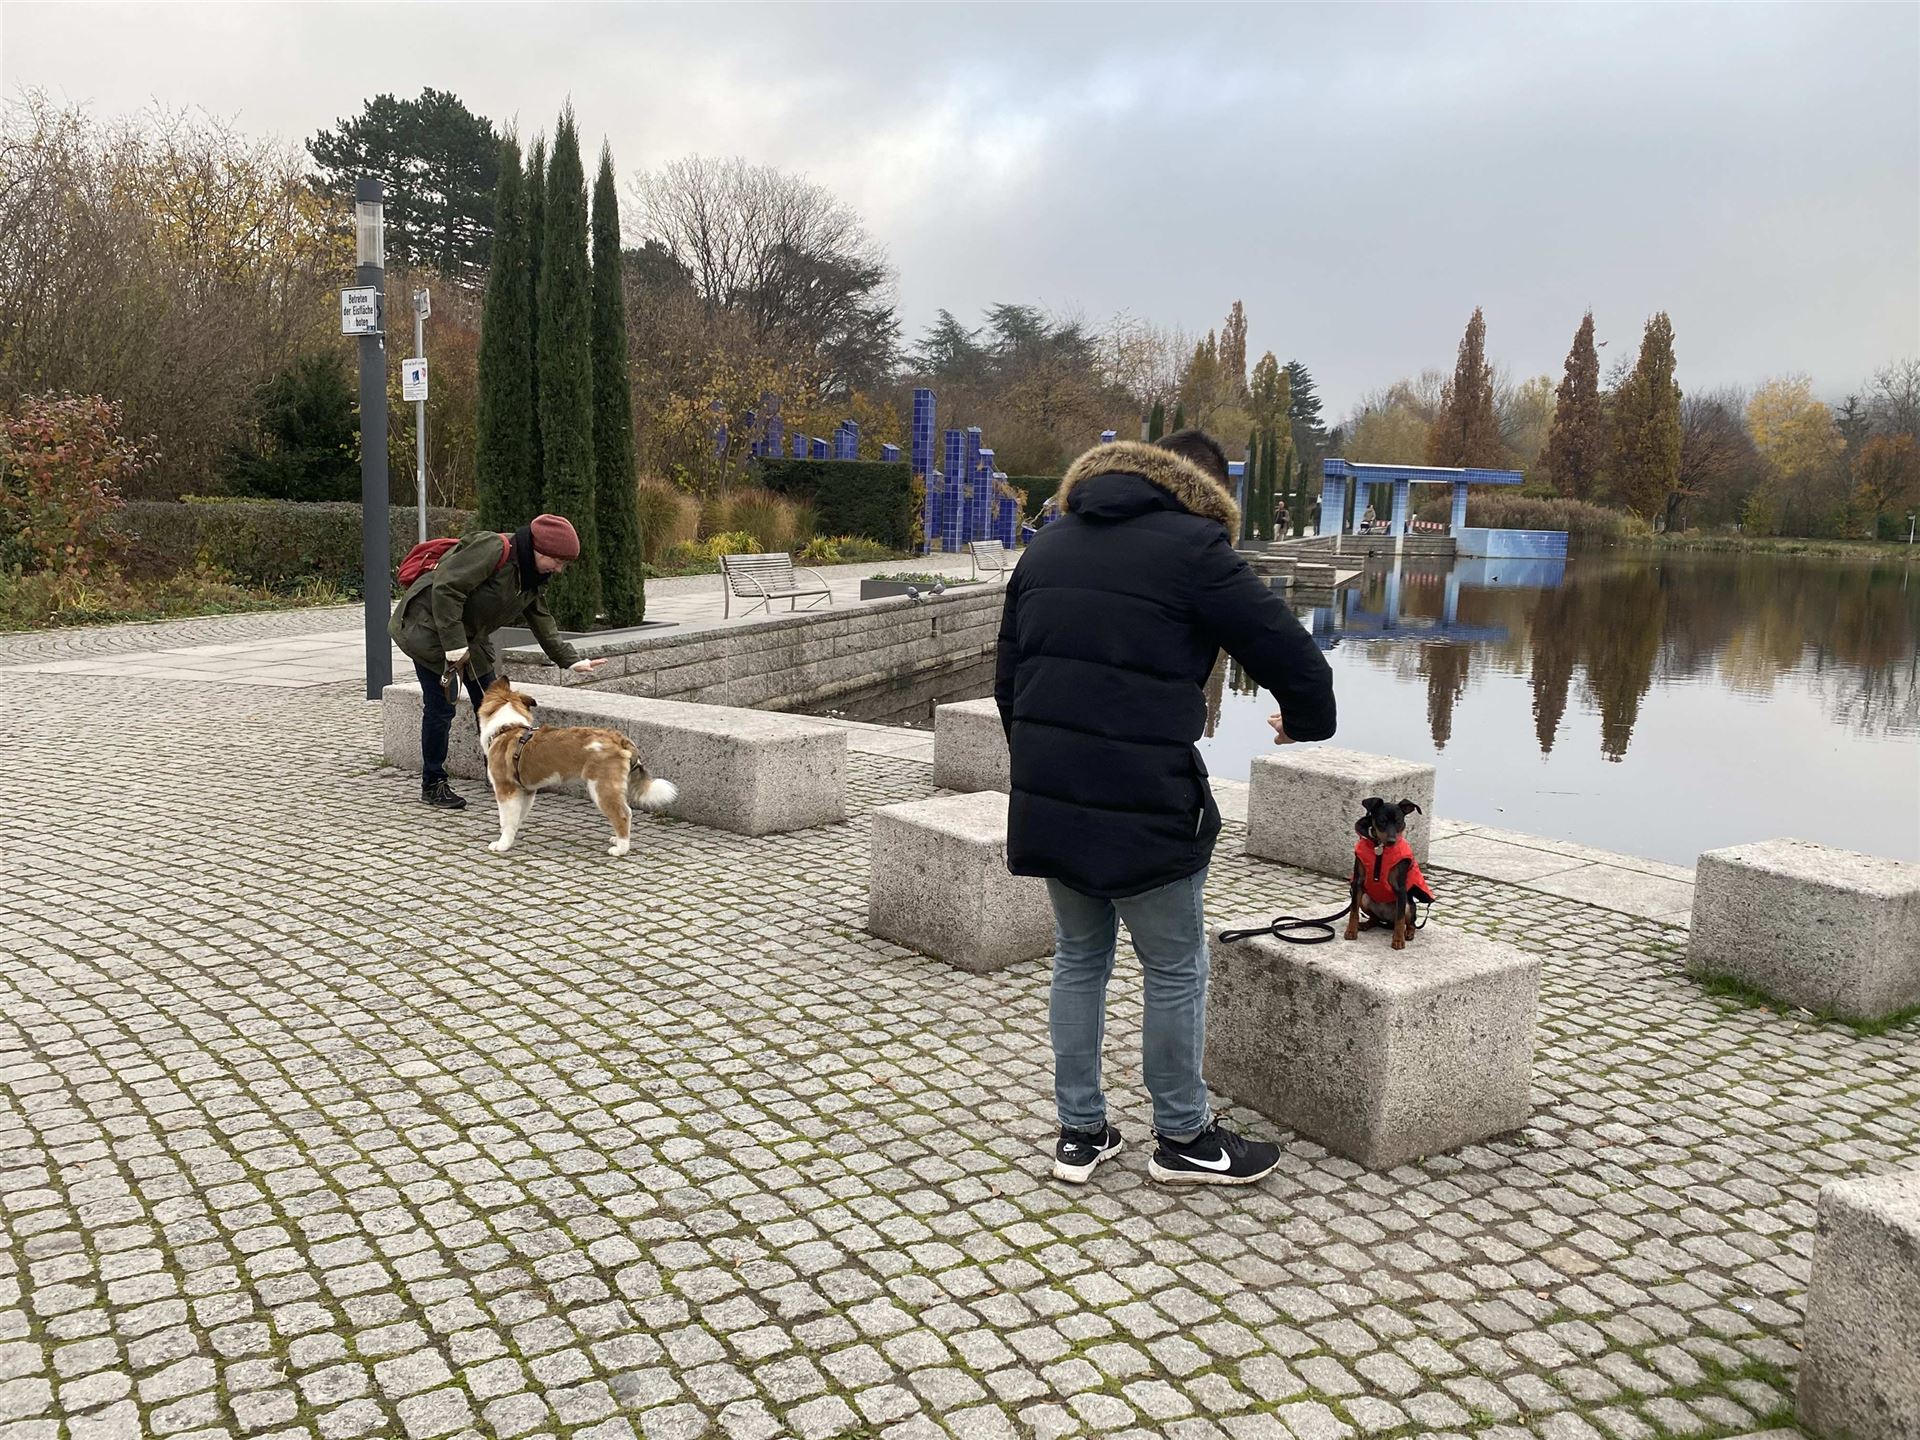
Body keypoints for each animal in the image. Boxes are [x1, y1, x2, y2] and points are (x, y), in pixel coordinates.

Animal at [474, 679, 677, 857]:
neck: (506, 728)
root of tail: (617, 737)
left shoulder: (506, 789)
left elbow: (506, 820)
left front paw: (502, 844)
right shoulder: (527, 791)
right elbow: (517, 817)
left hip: (601, 787)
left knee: (623, 814)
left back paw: (621, 849)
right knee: (627, 811)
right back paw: (618, 840)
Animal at [1345, 797, 1433, 950]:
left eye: (1399, 821)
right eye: (1382, 821)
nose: (1392, 841)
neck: (1380, 848)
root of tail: (1386, 919)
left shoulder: (1400, 888)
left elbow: (1400, 919)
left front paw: (1398, 941)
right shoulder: (1358, 883)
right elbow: (1353, 911)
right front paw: (1351, 931)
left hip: (1409, 906)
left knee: (1409, 923)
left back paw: (1408, 933)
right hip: (1365, 899)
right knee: (1374, 919)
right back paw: (1365, 925)